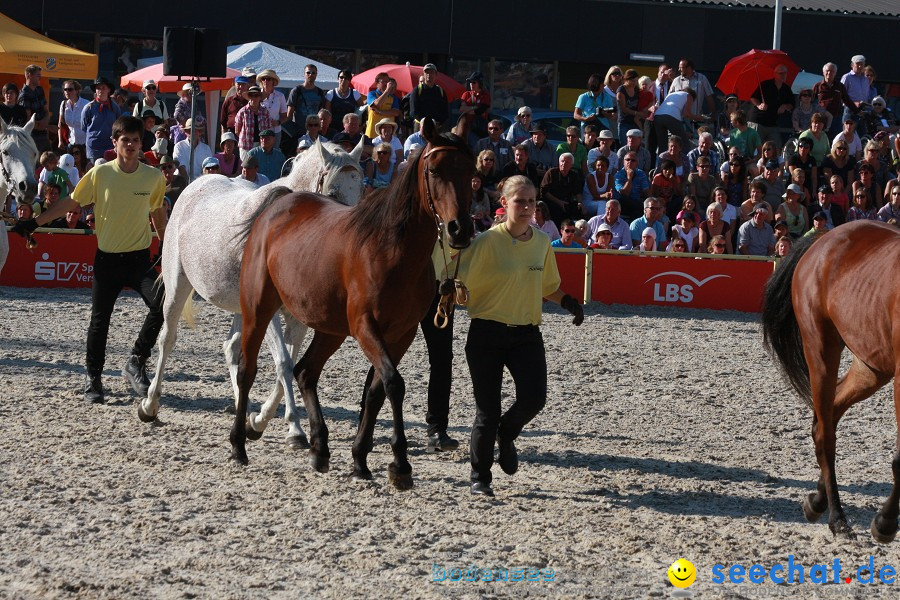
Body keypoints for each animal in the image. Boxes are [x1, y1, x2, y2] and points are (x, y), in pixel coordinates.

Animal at [139, 137, 364, 446]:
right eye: (332, 192)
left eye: (361, 191)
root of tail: (196, 184)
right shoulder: (268, 314)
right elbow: (283, 363)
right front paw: (294, 428)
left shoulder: (296, 319)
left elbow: (289, 366)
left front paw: (258, 421)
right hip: (177, 287)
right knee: (167, 340)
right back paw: (150, 405)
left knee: (231, 348)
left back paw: (241, 410)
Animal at [232, 117, 474, 488]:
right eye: (434, 170)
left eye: (471, 170)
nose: (460, 229)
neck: (393, 250)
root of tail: (278, 207)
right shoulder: (365, 327)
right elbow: (394, 384)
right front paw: (400, 464)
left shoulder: (400, 334)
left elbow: (377, 390)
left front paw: (361, 459)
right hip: (258, 311)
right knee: (248, 370)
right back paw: (239, 445)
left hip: (330, 330)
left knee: (305, 372)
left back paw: (319, 448)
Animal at [764, 219, 900, 540]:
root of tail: (824, 239)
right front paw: (885, 522)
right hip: (821, 349)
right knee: (826, 433)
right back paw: (837, 517)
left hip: (871, 366)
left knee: (829, 414)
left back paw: (818, 498)